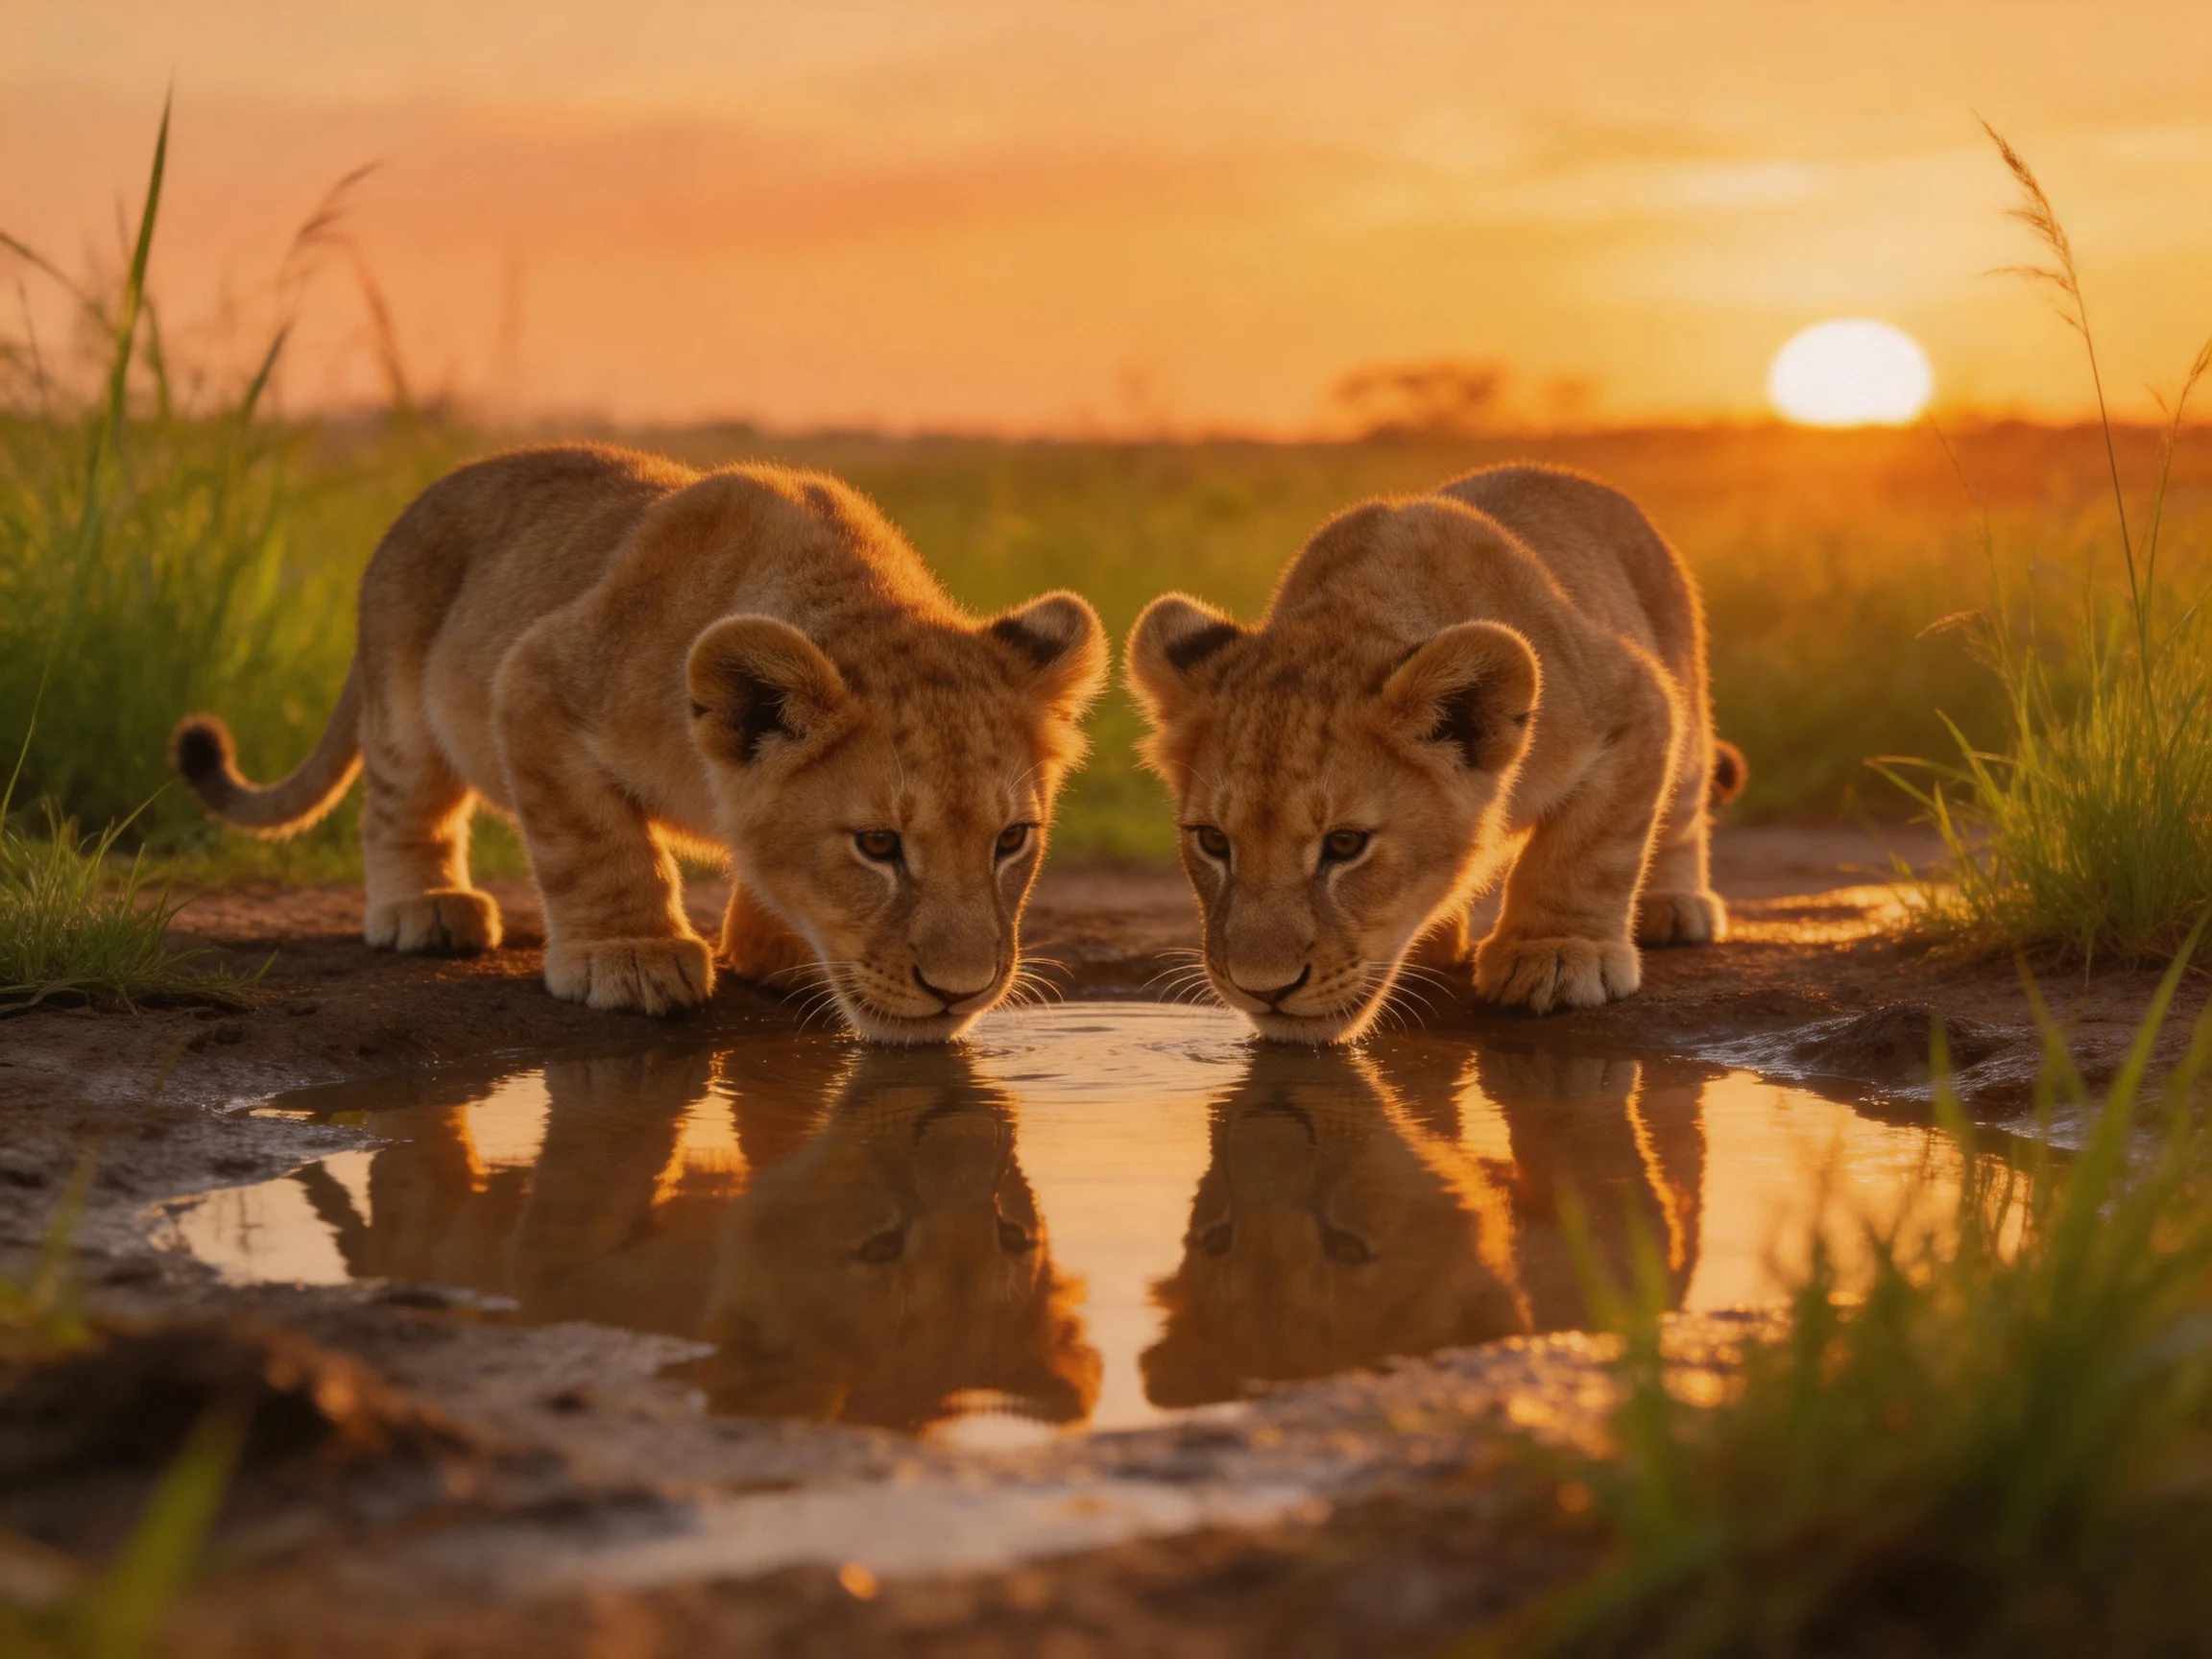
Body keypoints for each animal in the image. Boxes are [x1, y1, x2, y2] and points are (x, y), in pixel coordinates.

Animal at [171, 445, 1107, 1038]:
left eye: (1012, 840)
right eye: (878, 845)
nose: (961, 993)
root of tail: (422, 500)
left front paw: (774, 951)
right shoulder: (535, 677)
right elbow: (596, 846)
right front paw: (630, 956)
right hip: (406, 700)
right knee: (403, 807)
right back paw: (426, 909)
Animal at [1127, 464, 1745, 1040]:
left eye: (1345, 844)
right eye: (1212, 841)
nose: (1263, 989)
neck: (1355, 611)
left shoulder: (1632, 701)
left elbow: (1588, 853)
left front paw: (1556, 955)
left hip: (1685, 698)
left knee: (1683, 806)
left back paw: (1674, 906)